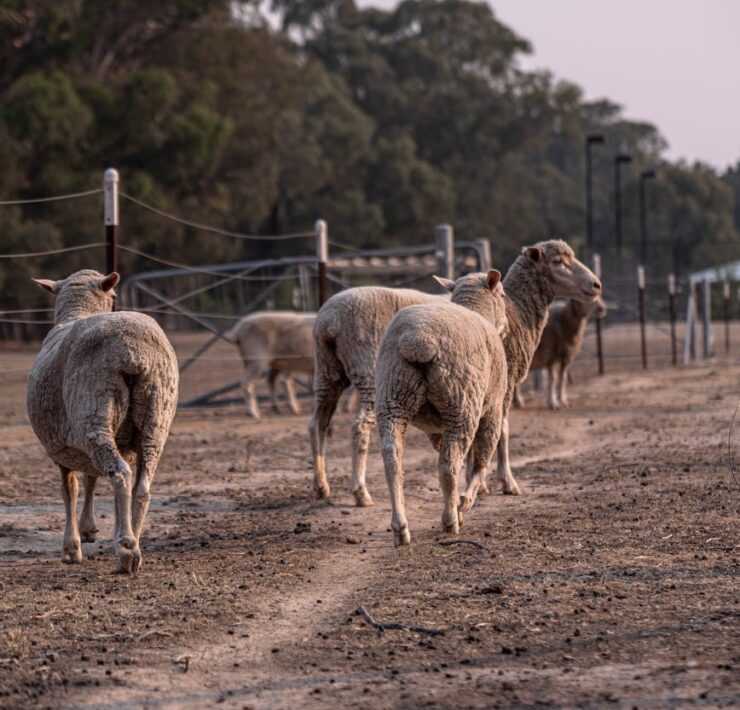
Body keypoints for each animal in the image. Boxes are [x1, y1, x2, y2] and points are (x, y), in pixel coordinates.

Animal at [26, 270, 179, 574]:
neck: (78, 311)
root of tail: (132, 353)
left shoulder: (61, 447)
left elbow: (70, 490)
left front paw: (72, 547)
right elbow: (92, 479)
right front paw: (93, 530)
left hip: (93, 411)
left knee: (121, 475)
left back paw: (127, 549)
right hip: (155, 419)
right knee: (140, 486)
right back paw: (132, 541)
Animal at [309, 286, 447, 507]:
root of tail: (330, 319)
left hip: (326, 368)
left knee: (317, 423)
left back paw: (321, 486)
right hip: (369, 368)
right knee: (359, 426)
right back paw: (360, 492)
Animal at [375, 270, 509, 546]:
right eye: (502, 295)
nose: (508, 325)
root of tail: (418, 339)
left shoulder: (434, 428)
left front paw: (460, 504)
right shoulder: (493, 407)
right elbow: (481, 460)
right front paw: (464, 503)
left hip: (392, 394)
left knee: (393, 458)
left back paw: (400, 528)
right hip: (462, 402)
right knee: (449, 464)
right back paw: (450, 521)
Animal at [495, 241, 602, 496]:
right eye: (557, 261)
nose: (597, 284)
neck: (515, 310)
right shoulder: (505, 381)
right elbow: (502, 429)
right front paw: (507, 482)